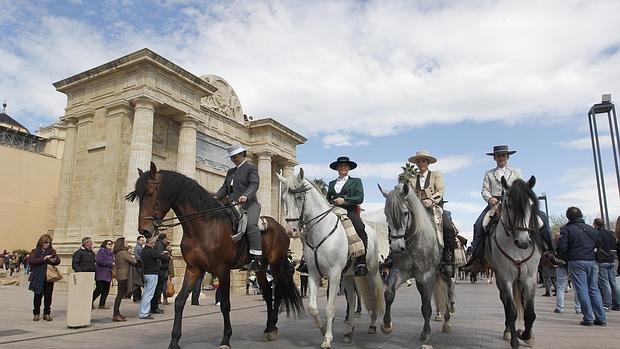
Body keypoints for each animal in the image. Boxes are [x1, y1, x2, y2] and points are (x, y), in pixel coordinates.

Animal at [126, 162, 302, 348]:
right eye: (138, 196)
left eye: (150, 193)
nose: (144, 231)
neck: (203, 227)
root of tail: (282, 228)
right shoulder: (193, 268)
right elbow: (180, 301)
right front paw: (174, 340)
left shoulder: (223, 270)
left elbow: (225, 304)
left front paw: (226, 339)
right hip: (260, 268)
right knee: (268, 293)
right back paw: (268, 328)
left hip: (275, 264)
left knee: (278, 291)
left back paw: (273, 327)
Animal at [280, 169, 382, 348]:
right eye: (284, 199)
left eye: (299, 197)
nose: (291, 231)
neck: (320, 231)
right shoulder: (314, 274)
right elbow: (313, 308)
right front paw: (322, 329)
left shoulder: (334, 274)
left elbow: (330, 307)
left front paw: (327, 339)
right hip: (348, 275)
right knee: (352, 299)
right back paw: (348, 332)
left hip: (370, 272)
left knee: (373, 295)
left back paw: (372, 325)